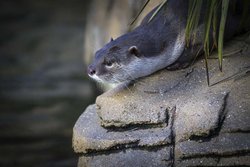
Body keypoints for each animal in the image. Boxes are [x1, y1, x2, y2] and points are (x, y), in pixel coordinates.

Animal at [87, 0, 248, 83]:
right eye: (96, 54)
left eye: (109, 62)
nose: (90, 70)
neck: (172, 21)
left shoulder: (207, 25)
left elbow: (205, 43)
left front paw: (179, 62)